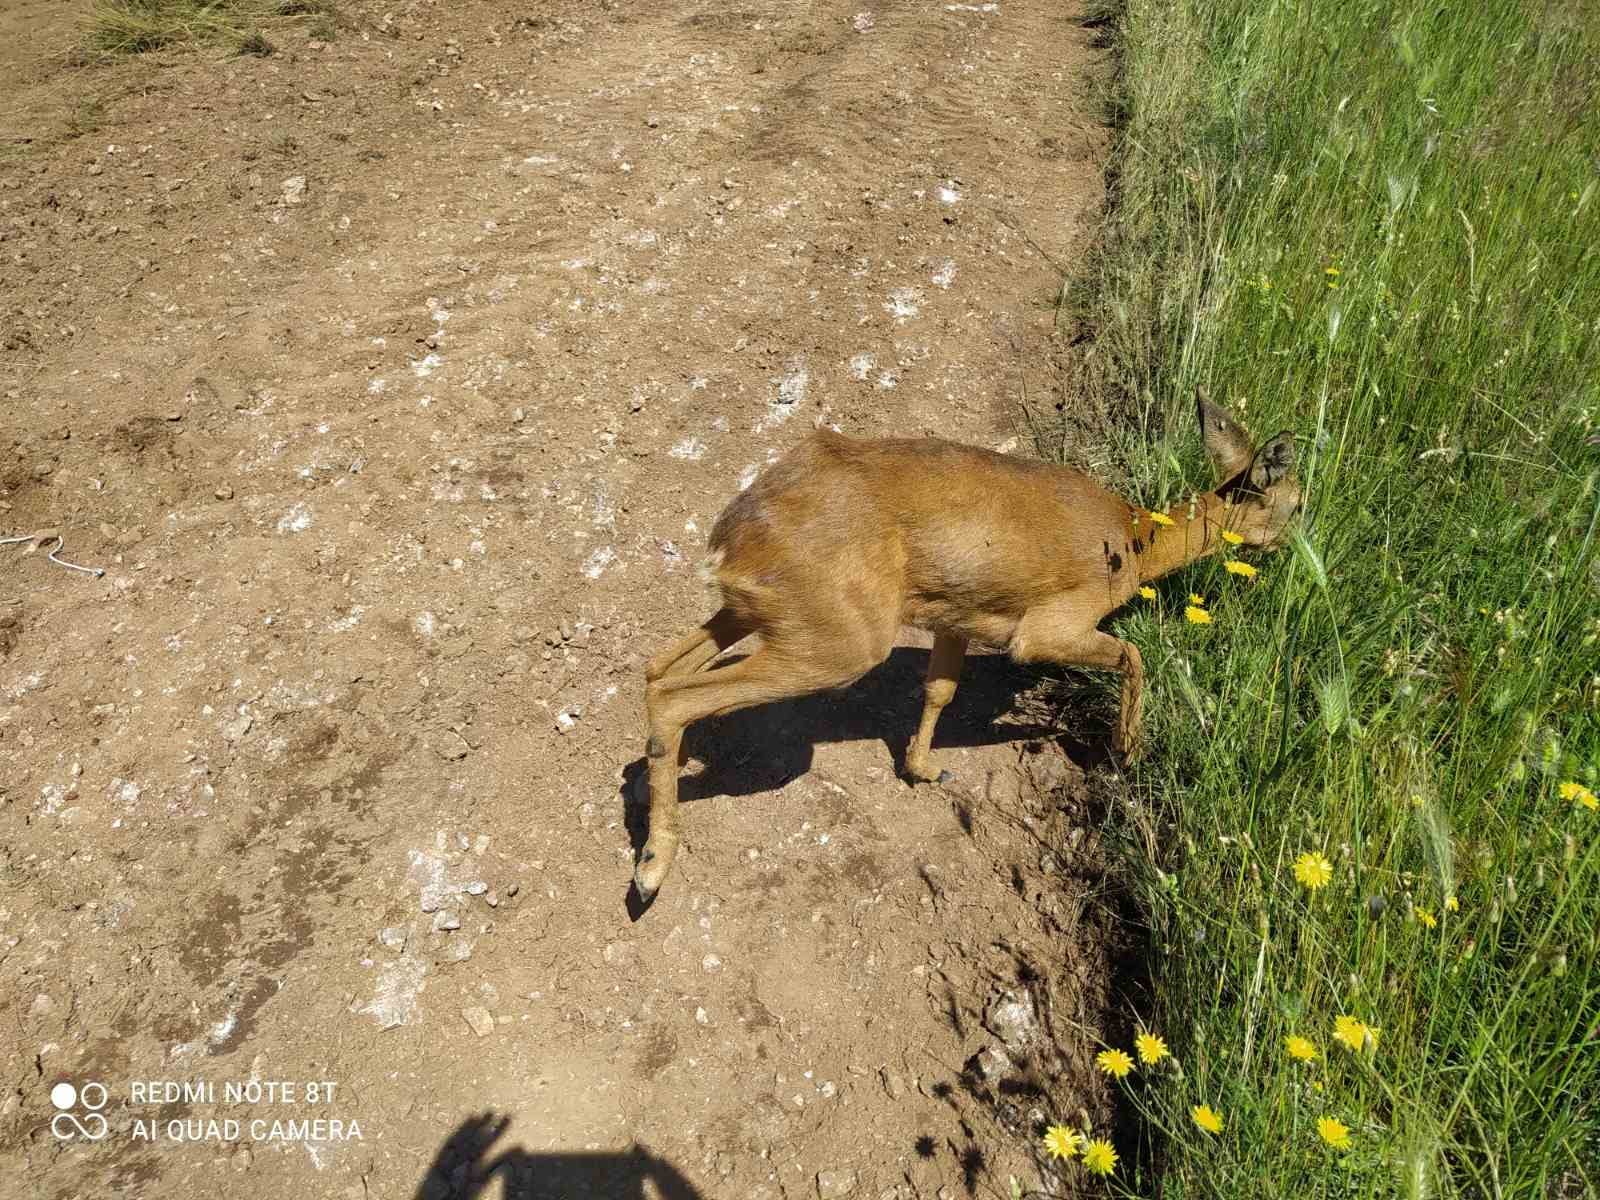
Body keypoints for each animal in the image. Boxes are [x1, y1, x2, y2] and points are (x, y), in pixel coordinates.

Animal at [630, 395, 1292, 902]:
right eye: (1297, 503)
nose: (1293, 551)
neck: (1136, 541)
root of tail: (727, 542)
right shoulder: (1046, 628)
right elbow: (1133, 655)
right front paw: (1126, 751)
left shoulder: (955, 616)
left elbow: (941, 689)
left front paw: (923, 767)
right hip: (838, 642)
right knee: (675, 695)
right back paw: (651, 869)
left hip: (764, 615)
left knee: (656, 667)